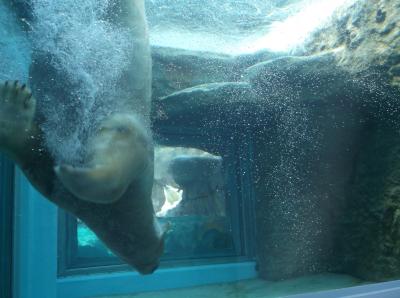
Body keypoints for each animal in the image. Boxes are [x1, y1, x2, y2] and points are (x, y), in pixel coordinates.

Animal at [1, 0, 164, 274]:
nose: (151, 267)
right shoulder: (131, 136)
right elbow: (114, 170)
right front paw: (74, 173)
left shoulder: (58, 189)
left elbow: (35, 152)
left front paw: (12, 111)